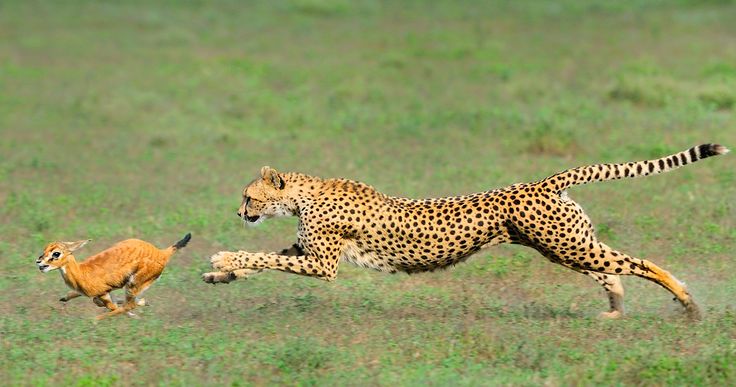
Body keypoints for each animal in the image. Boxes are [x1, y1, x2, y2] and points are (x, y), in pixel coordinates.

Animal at [203, 144, 732, 320]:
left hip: (566, 244)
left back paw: (687, 303)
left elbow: (264, 258)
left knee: (640, 263)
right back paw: (615, 311)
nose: (237, 212)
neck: (303, 194)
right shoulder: (306, 251)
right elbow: (269, 258)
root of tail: (542, 181)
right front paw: (222, 275)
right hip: (570, 244)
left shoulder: (322, 264)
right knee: (612, 271)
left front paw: (223, 260)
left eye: (249, 197)